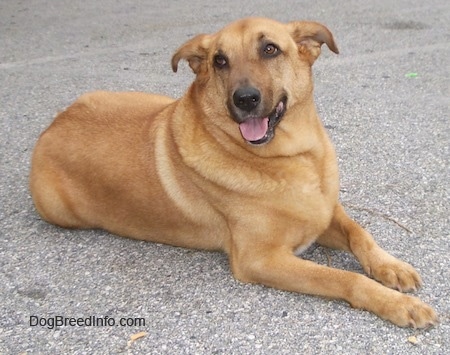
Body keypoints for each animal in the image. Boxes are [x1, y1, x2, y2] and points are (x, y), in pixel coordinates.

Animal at [29, 16, 438, 328]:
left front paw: (391, 267)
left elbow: (360, 233)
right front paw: (397, 305)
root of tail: (51, 127)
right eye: (220, 61)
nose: (245, 99)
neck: (291, 157)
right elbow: (344, 277)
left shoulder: (324, 212)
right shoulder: (262, 259)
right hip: (59, 210)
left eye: (270, 49)